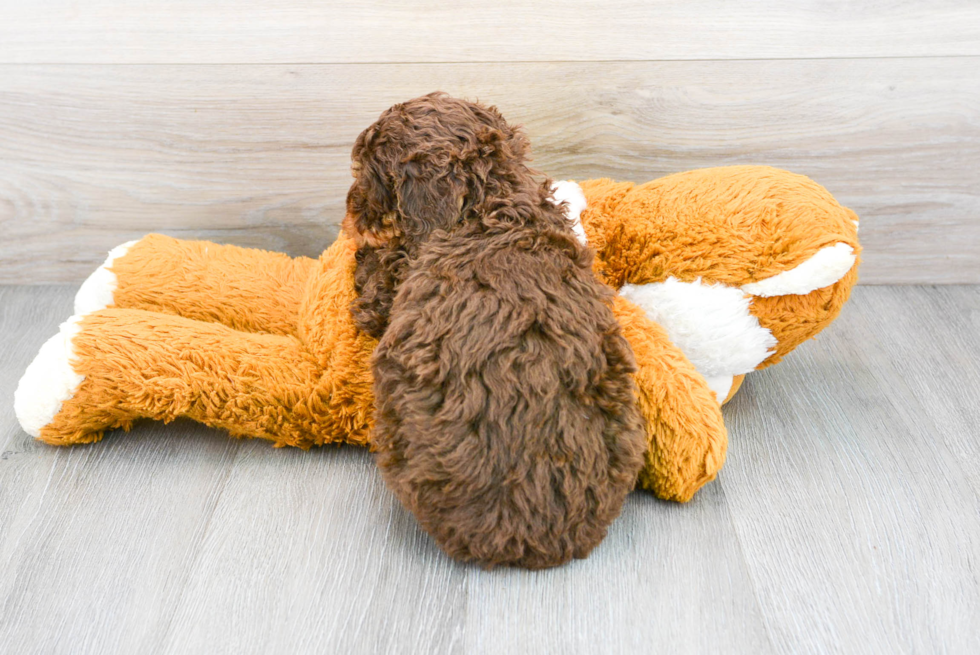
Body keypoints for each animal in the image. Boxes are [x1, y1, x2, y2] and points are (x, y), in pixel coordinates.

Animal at [342, 92, 644, 568]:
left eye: (368, 179)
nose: (349, 209)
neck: (491, 203)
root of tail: (530, 536)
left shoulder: (389, 291)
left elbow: (374, 281)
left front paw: (362, 256)